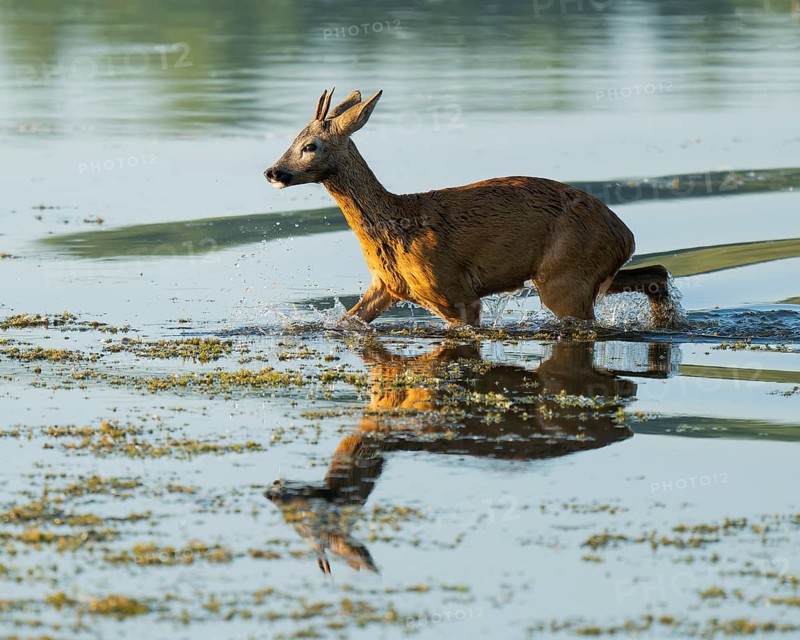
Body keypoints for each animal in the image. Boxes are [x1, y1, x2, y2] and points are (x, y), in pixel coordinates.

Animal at [265, 88, 672, 328]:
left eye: (310, 146)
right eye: (293, 139)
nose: (272, 171)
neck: (396, 225)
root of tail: (625, 234)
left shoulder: (455, 292)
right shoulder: (386, 286)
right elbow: (346, 322)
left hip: (564, 278)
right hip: (587, 272)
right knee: (657, 272)